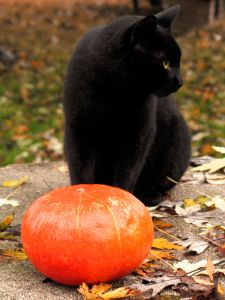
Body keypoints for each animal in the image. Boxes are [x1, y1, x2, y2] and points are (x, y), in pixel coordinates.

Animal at [63, 5, 192, 206]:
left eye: (177, 62)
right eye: (165, 63)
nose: (180, 81)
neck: (115, 92)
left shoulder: (140, 134)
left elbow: (128, 172)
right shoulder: (77, 129)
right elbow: (79, 168)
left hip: (177, 140)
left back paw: (149, 195)